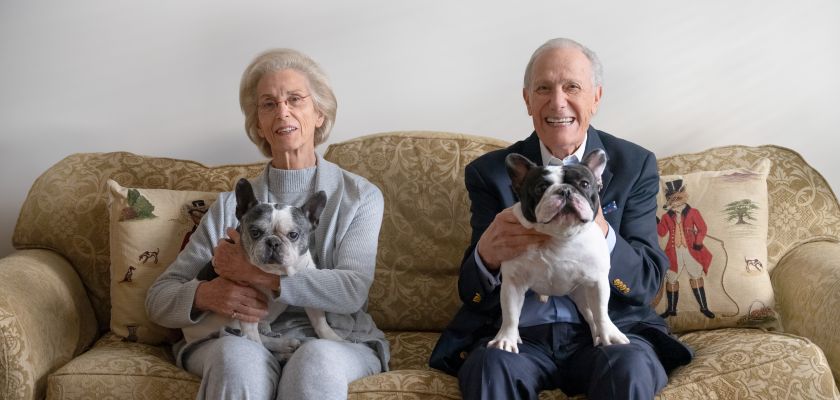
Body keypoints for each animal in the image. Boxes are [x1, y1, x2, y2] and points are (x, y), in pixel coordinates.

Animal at [182, 178, 342, 350]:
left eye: (293, 235)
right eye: (255, 232)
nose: (273, 242)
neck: (273, 272)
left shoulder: (307, 295)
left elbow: (320, 321)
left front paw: (334, 338)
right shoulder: (246, 308)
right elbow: (253, 338)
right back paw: (282, 344)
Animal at [486, 150, 632, 354]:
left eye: (584, 184)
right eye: (541, 187)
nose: (565, 190)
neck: (559, 237)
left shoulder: (597, 282)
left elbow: (602, 313)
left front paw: (610, 336)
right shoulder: (513, 284)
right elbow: (510, 314)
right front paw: (506, 339)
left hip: (583, 294)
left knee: (591, 315)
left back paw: (599, 335)